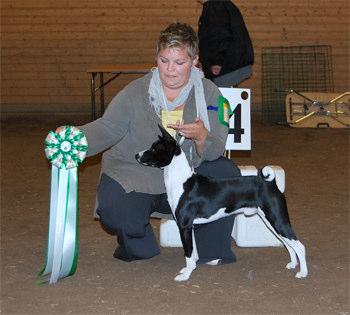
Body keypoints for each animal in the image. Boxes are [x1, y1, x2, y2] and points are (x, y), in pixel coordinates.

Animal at [135, 125, 308, 282]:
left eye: (155, 148)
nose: (137, 155)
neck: (182, 182)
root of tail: (270, 183)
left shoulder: (184, 226)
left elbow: (188, 254)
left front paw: (185, 275)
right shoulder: (190, 226)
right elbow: (194, 253)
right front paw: (190, 269)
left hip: (277, 219)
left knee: (299, 245)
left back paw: (303, 273)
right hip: (271, 221)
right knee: (288, 244)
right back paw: (293, 264)